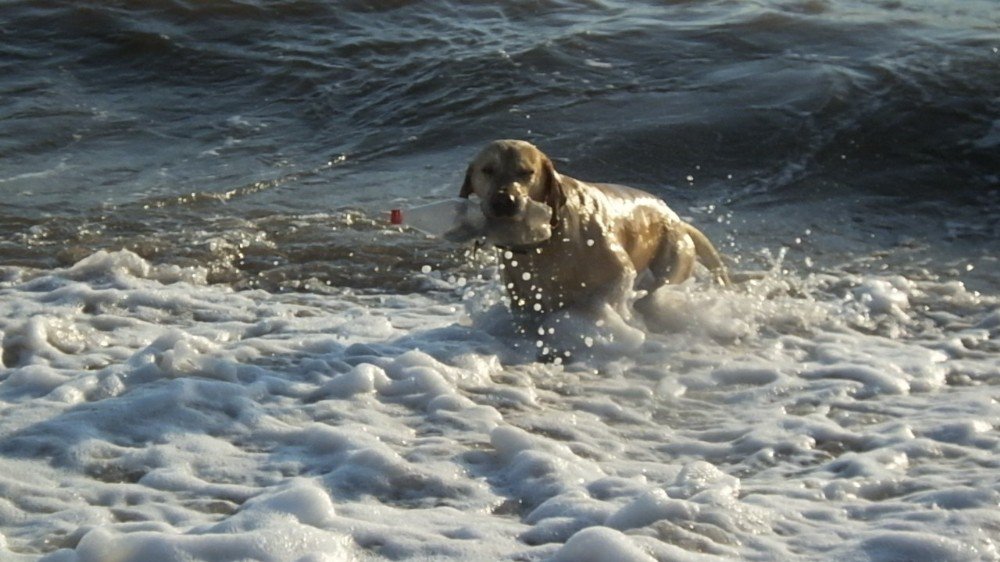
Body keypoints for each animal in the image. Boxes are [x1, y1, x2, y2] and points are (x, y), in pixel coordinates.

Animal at [458, 138, 728, 318]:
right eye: (487, 170)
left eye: (526, 172)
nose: (504, 201)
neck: (549, 241)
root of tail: (676, 219)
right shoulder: (523, 300)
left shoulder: (619, 274)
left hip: (671, 263)